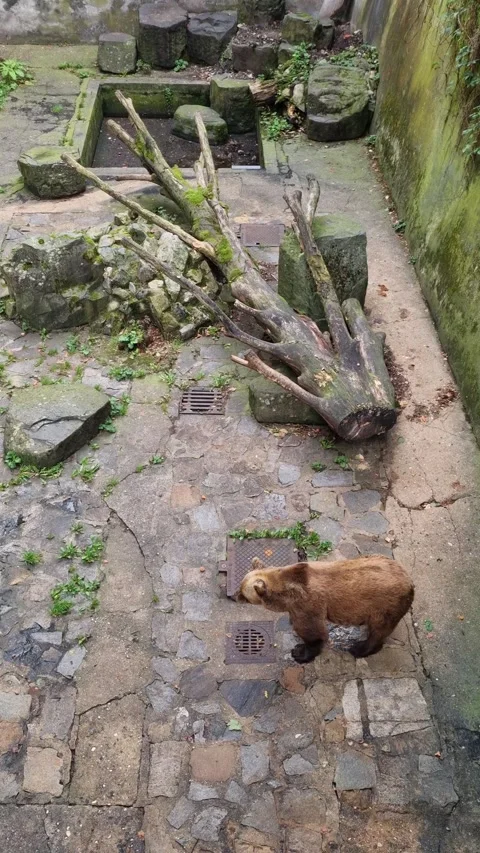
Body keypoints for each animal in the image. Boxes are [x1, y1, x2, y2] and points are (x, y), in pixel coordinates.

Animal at [237, 555, 414, 663]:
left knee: (379, 631)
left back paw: (359, 648)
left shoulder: (307, 604)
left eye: (244, 594)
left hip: (384, 606)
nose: (234, 596)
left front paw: (299, 652)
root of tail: (410, 582)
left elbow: (313, 632)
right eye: (240, 585)